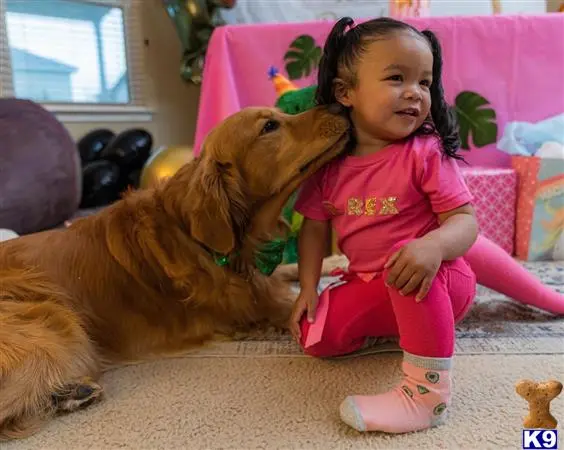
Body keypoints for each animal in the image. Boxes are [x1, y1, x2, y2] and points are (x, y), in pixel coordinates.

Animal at [0, 104, 348, 440]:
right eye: (269, 126)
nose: (339, 106)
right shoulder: (258, 307)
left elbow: (287, 271)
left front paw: (335, 261)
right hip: (55, 327)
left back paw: (70, 393)